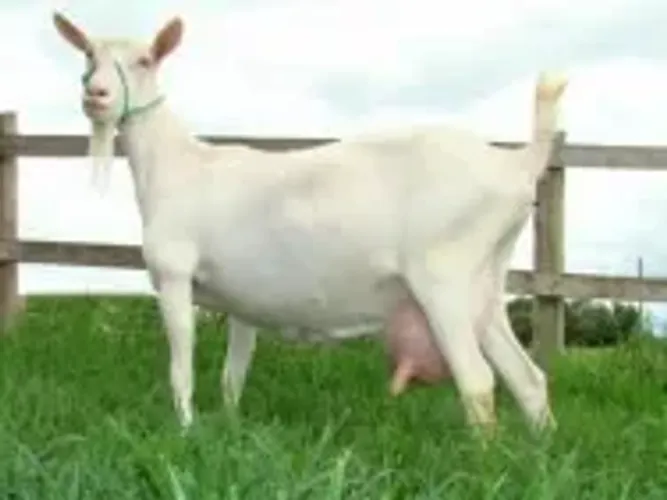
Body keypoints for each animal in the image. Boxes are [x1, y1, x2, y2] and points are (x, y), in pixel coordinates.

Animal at [52, 11, 567, 436]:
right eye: (89, 54)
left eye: (144, 60)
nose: (96, 94)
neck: (179, 164)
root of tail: (515, 164)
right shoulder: (242, 300)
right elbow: (233, 375)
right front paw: (228, 428)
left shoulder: (174, 274)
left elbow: (182, 368)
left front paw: (184, 431)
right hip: (485, 282)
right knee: (528, 378)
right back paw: (537, 453)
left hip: (443, 276)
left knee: (477, 380)